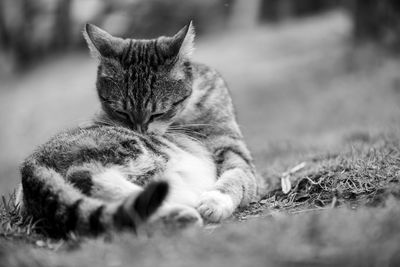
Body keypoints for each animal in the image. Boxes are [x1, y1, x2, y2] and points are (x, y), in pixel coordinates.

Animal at [14, 22, 260, 238]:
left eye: (158, 113)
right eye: (121, 112)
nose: (142, 129)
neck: (184, 115)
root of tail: (30, 164)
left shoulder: (233, 149)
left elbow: (237, 175)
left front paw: (215, 200)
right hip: (129, 149)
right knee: (87, 177)